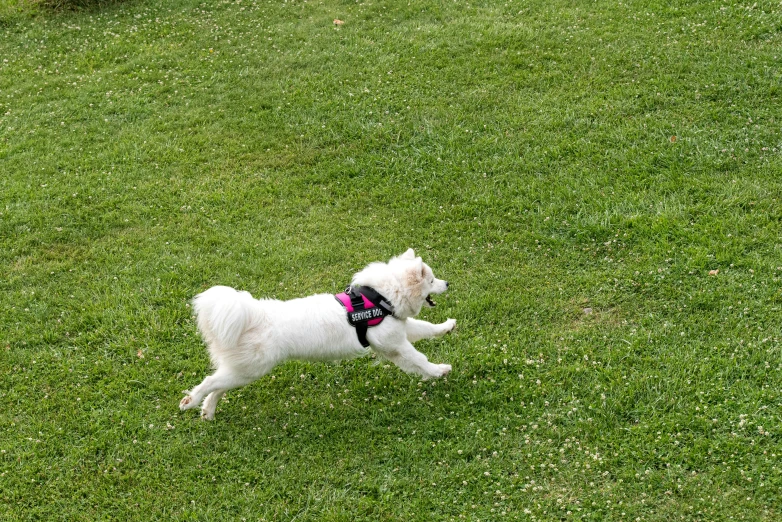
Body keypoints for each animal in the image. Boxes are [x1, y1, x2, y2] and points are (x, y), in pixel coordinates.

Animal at [180, 249, 456, 418]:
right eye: (432, 280)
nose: (448, 283)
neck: (381, 298)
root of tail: (253, 315)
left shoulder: (398, 332)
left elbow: (425, 328)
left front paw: (447, 326)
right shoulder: (395, 344)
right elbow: (420, 359)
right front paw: (439, 370)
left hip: (242, 371)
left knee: (218, 386)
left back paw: (207, 411)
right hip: (252, 369)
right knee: (210, 382)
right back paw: (191, 401)